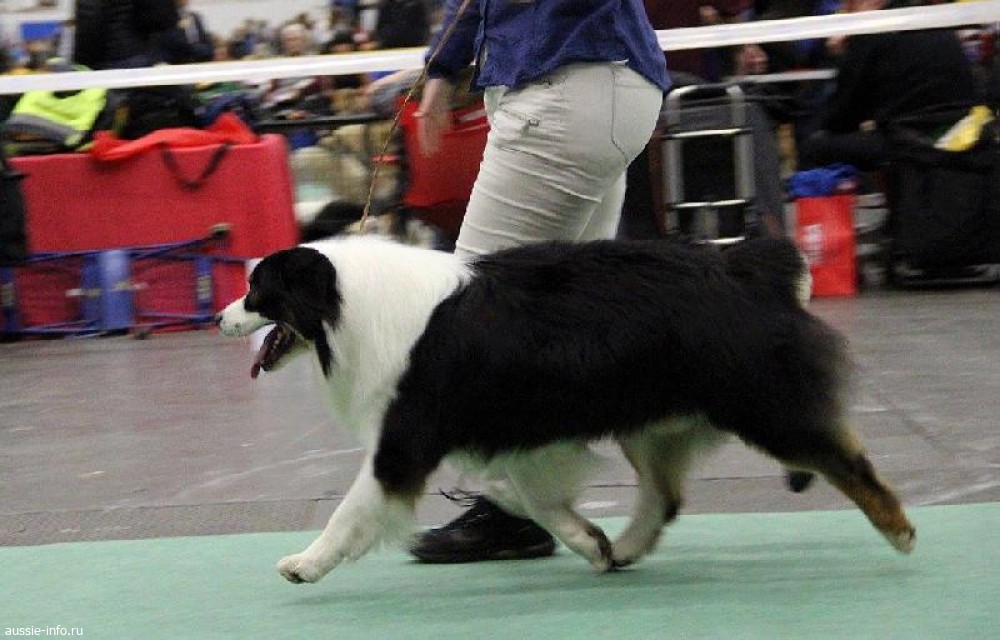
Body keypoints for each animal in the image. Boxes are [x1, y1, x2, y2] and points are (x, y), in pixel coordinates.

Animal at [217, 235, 915, 584]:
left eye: (257, 289)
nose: (220, 318)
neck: (347, 304)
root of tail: (745, 269)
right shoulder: (524, 431)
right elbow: (532, 495)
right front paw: (586, 540)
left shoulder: (405, 437)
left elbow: (352, 509)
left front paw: (304, 564)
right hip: (649, 420)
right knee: (664, 496)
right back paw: (624, 548)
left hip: (760, 402)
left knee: (846, 458)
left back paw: (900, 530)